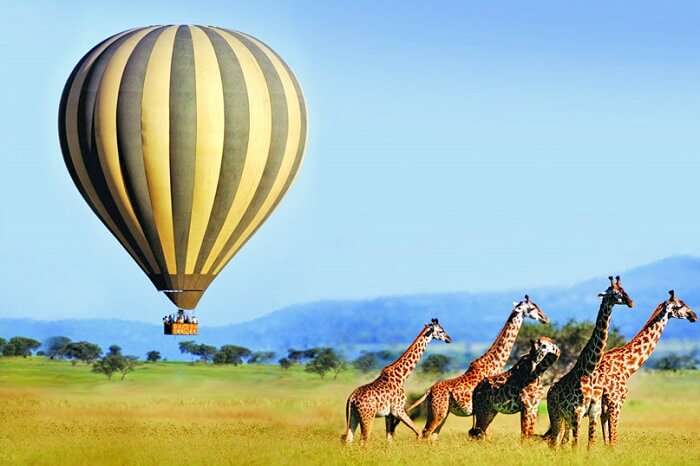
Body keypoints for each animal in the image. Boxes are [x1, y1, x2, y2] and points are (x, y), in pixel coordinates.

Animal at [342, 318, 452, 446]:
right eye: (441, 330)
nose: (449, 339)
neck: (402, 377)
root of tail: (352, 398)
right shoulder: (398, 410)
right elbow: (419, 432)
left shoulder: (389, 414)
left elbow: (389, 439)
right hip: (367, 416)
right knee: (363, 440)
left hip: (353, 417)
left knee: (348, 439)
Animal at [408, 294, 548, 440]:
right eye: (532, 308)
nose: (545, 318)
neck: (493, 364)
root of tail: (428, 391)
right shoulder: (486, 409)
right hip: (438, 412)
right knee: (424, 435)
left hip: (443, 413)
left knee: (432, 436)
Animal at [548, 276, 636, 448]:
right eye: (614, 293)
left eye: (624, 289)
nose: (631, 302)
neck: (588, 371)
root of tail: (549, 392)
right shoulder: (577, 412)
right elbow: (575, 446)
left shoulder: (594, 412)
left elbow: (590, 445)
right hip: (556, 416)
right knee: (554, 443)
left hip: (565, 420)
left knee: (561, 443)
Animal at [588, 290, 696, 446]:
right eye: (679, 305)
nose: (693, 315)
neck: (627, 366)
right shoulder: (615, 402)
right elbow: (613, 439)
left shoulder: (605, 407)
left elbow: (606, 439)